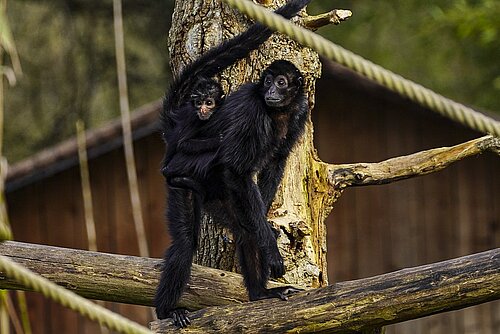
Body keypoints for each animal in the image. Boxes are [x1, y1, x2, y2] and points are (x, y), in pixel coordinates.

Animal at [157, 0, 312, 326]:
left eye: (281, 82)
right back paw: (166, 311)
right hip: (184, 170)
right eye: (267, 81)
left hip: (220, 193)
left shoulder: (300, 111)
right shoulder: (252, 110)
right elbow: (238, 169)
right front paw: (271, 250)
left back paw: (260, 294)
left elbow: (275, 163)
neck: (276, 113)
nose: (271, 91)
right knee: (185, 241)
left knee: (244, 227)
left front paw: (264, 227)